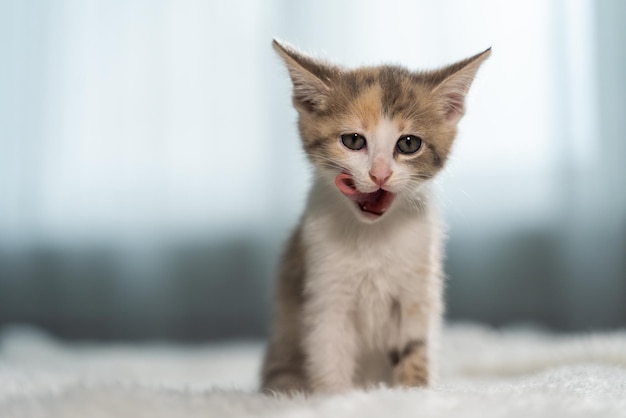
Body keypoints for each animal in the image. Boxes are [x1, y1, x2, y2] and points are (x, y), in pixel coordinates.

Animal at [260, 40, 490, 394]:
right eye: (353, 140)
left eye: (408, 143)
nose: (379, 174)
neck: (373, 236)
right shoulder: (326, 292)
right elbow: (329, 355)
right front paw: (336, 398)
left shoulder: (416, 291)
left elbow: (414, 350)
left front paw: (413, 394)